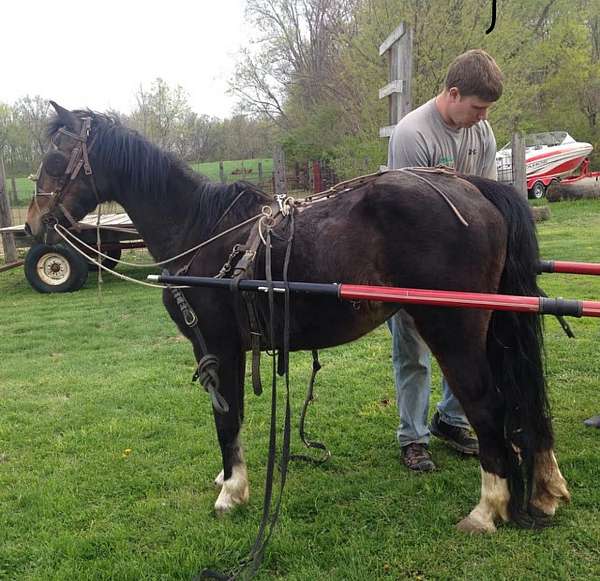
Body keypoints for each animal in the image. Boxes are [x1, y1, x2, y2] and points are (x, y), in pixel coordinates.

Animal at [27, 102, 572, 532]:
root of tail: (474, 189)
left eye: (55, 159)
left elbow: (227, 418)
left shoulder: (217, 347)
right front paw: (229, 478)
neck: (200, 229)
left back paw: (488, 508)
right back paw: (544, 488)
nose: (35, 223)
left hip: (454, 330)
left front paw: (232, 490)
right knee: (523, 399)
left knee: (489, 406)